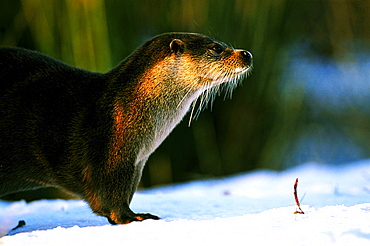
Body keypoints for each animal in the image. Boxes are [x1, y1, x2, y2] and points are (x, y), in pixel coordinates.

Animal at [0, 32, 253, 225]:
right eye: (216, 48)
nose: (246, 54)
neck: (122, 108)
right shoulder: (110, 156)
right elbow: (110, 200)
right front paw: (134, 217)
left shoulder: (135, 164)